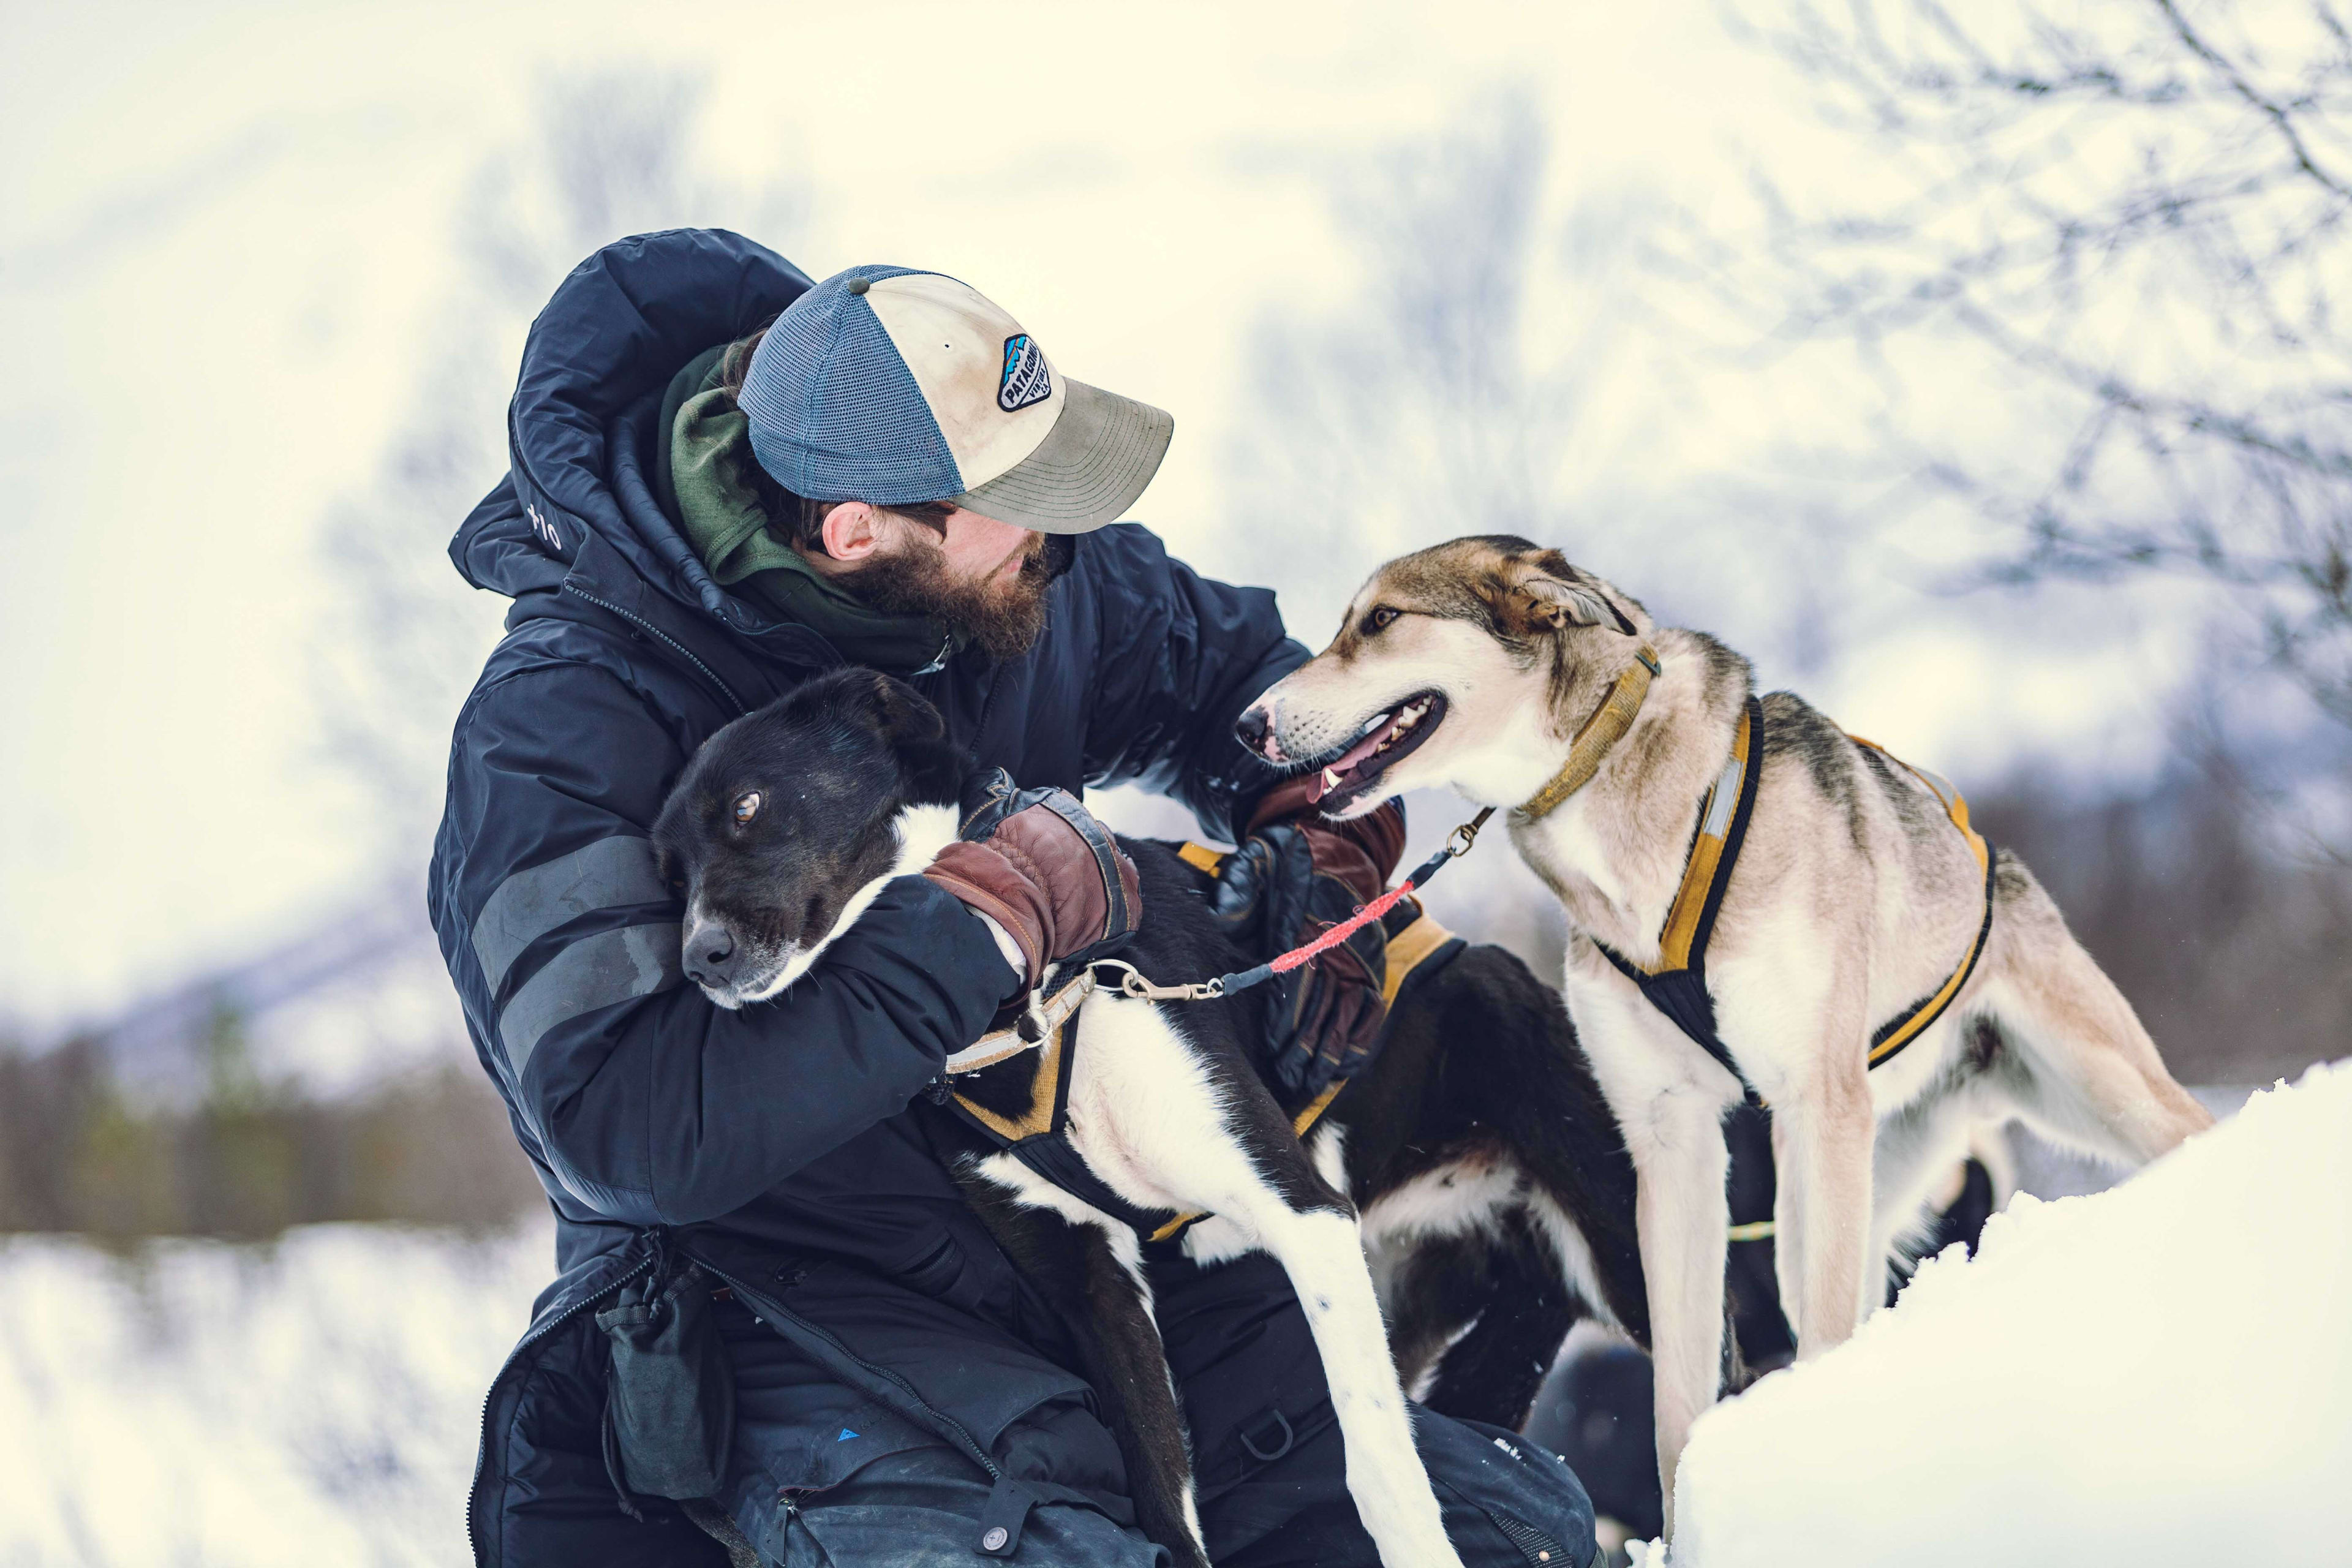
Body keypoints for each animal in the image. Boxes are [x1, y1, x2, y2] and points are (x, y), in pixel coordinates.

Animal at [639, 677, 1637, 1568]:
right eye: (669, 874)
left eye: (750, 806)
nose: (699, 960)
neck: (1028, 1010)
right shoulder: (1092, 1282)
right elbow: (1161, 1492)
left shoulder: (1304, 1210)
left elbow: (1379, 1468)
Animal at [1242, 536, 2211, 1523]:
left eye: (1381, 620)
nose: (1249, 727)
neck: (1608, 776)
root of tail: (1995, 862)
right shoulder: (1671, 1141)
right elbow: (1680, 1395)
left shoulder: (1812, 1100)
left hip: (2089, 1099)